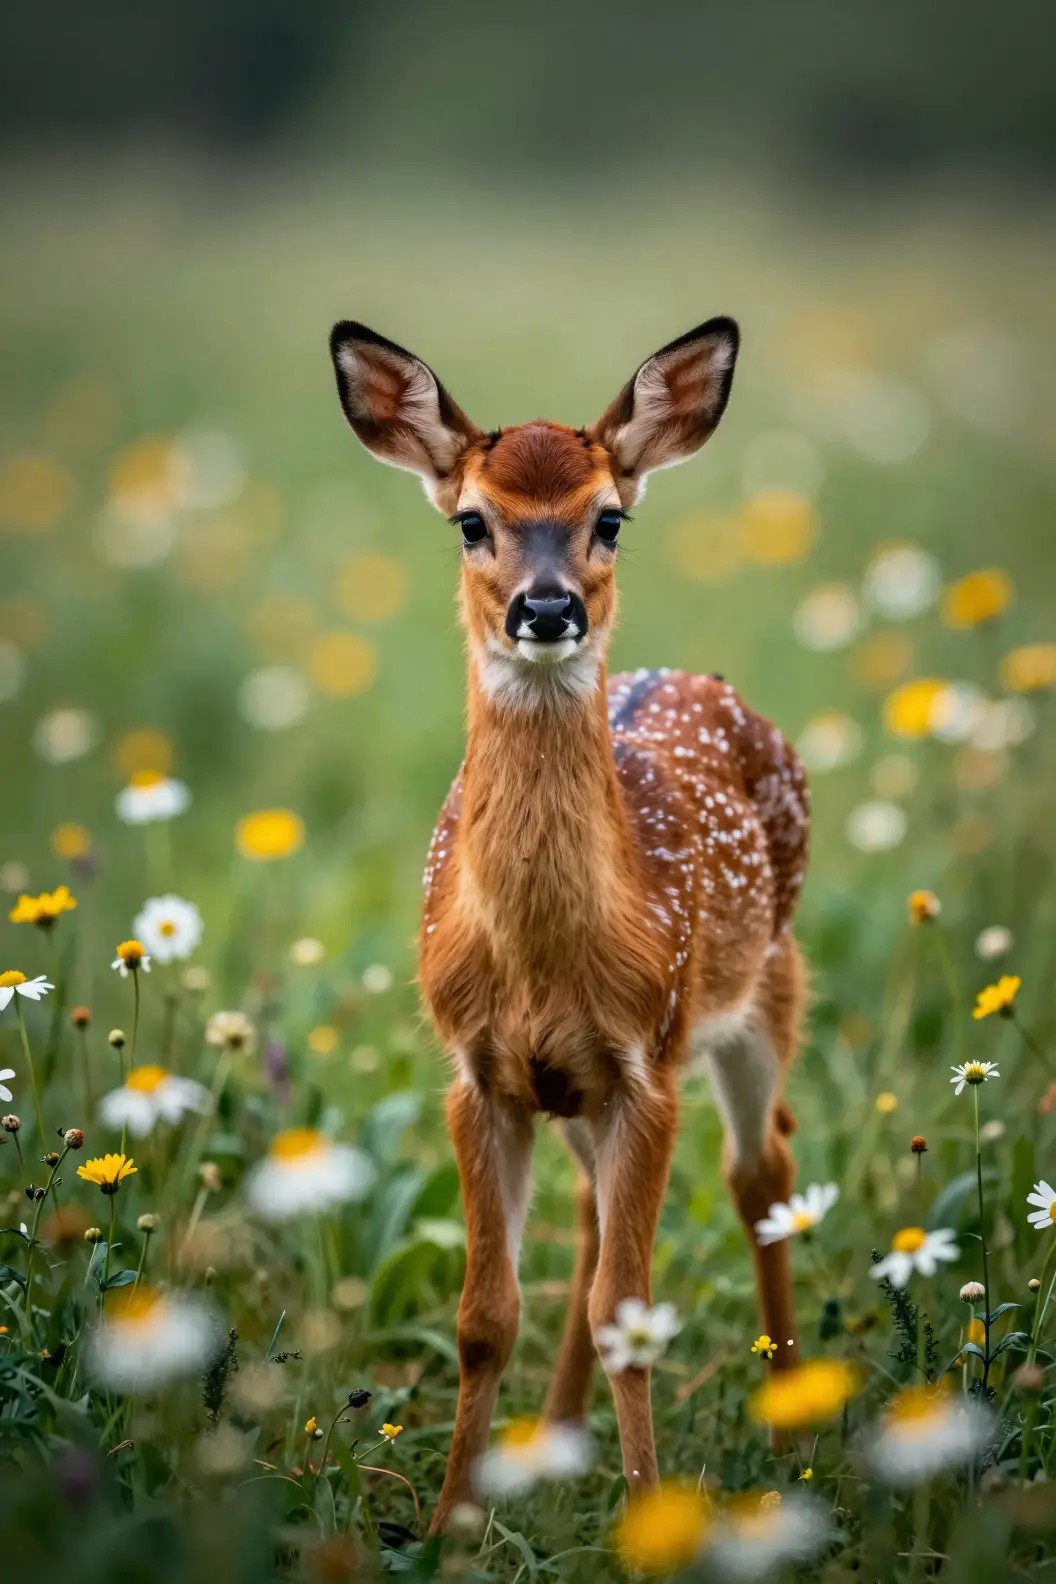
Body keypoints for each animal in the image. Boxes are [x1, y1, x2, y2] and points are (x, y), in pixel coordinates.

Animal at [328, 316, 810, 1530]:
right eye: (470, 520)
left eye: (610, 518)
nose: (547, 610)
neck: (548, 957)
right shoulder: (479, 1074)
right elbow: (483, 1316)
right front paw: (451, 1525)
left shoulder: (649, 1059)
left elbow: (625, 1311)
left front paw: (646, 1518)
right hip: (586, 1094)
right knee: (596, 1216)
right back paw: (553, 1433)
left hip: (761, 992)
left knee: (763, 1174)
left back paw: (797, 1421)